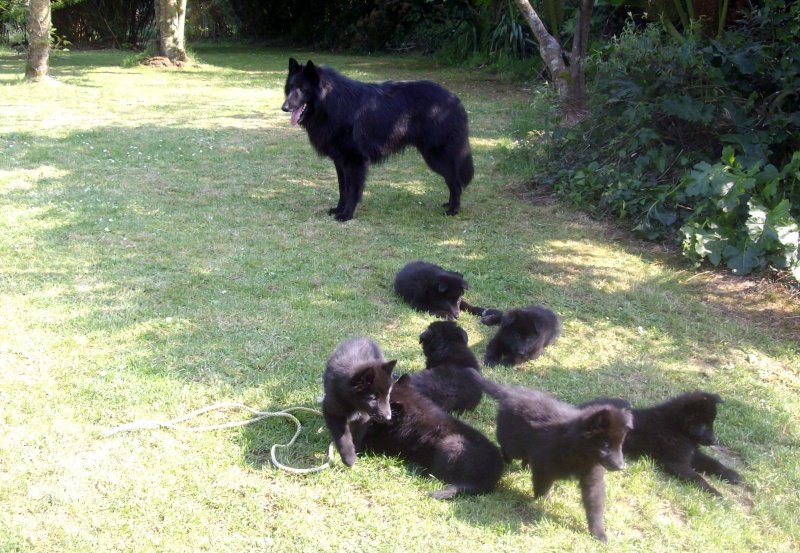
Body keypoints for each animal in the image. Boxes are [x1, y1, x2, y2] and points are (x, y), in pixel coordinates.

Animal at [282, 56, 472, 220]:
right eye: (290, 87)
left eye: (302, 89)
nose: (284, 107)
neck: (332, 102)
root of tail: (455, 100)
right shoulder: (340, 161)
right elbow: (342, 189)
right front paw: (339, 209)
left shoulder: (354, 161)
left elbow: (351, 190)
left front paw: (347, 215)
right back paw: (450, 204)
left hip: (435, 155)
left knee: (455, 181)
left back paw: (454, 209)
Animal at [318, 336, 394, 466]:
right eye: (373, 398)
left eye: (388, 394)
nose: (388, 418)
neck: (353, 403)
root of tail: (363, 338)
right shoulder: (332, 411)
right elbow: (342, 435)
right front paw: (349, 457)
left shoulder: (364, 415)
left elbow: (357, 434)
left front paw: (356, 450)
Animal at [472, 368, 636, 540]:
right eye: (605, 445)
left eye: (620, 444)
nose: (621, 466)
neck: (579, 452)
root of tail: (510, 393)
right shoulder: (544, 468)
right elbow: (542, 486)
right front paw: (543, 502)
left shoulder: (593, 479)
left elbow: (595, 506)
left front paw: (598, 533)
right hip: (513, 443)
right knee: (506, 447)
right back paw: (508, 459)